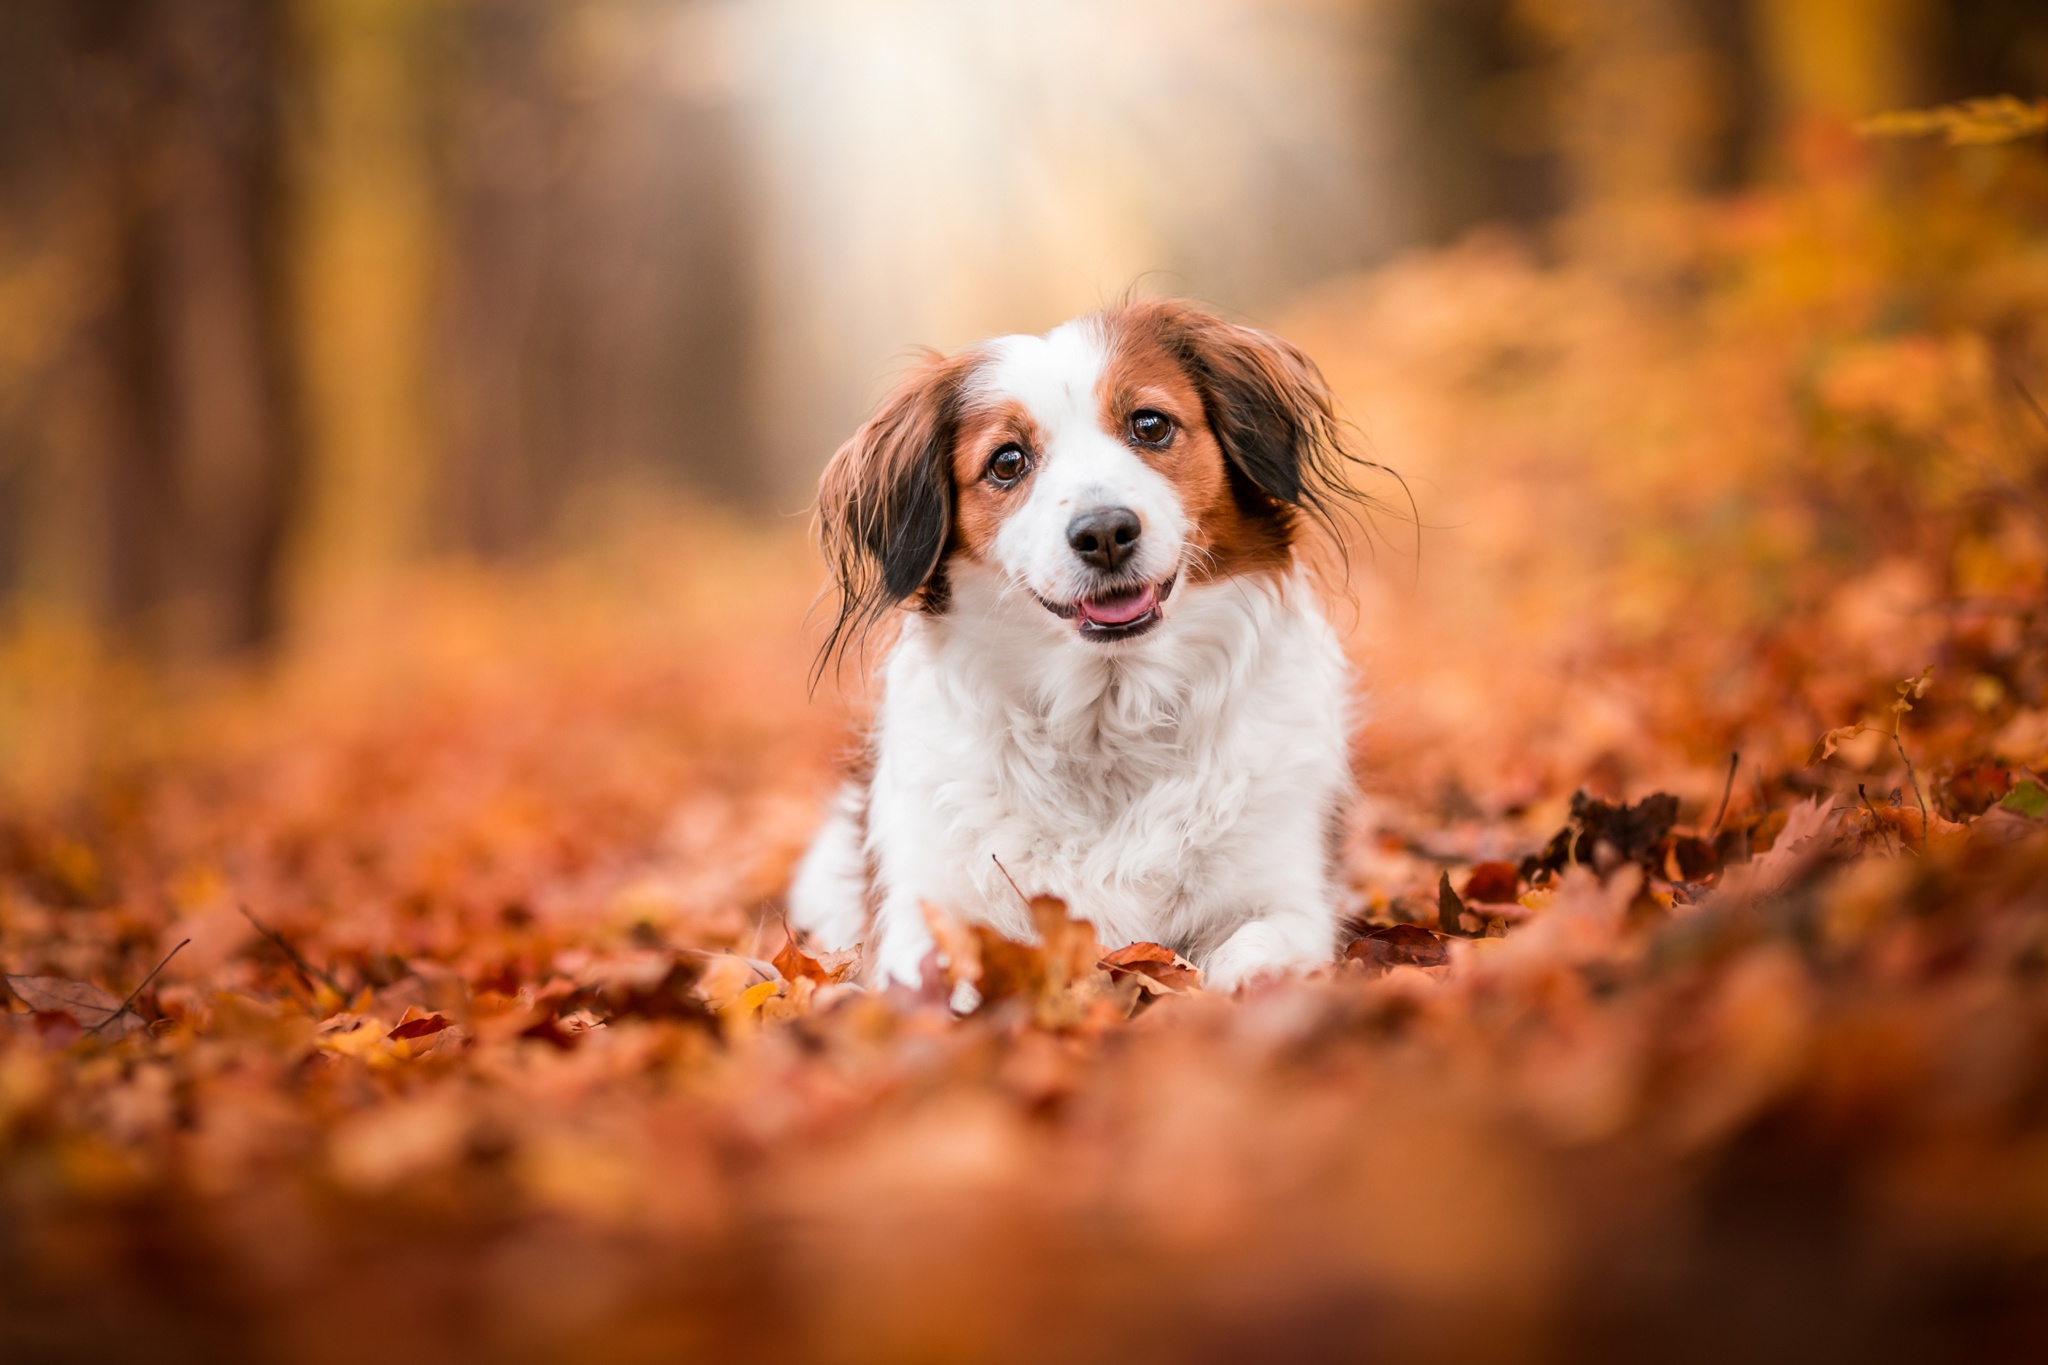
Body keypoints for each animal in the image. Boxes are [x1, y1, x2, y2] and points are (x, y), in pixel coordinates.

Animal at [790, 296, 1368, 994]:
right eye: (1007, 461)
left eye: (1150, 424)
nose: (1105, 531)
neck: (1105, 716)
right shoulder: (920, 909)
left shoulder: (1286, 896)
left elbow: (1254, 952)